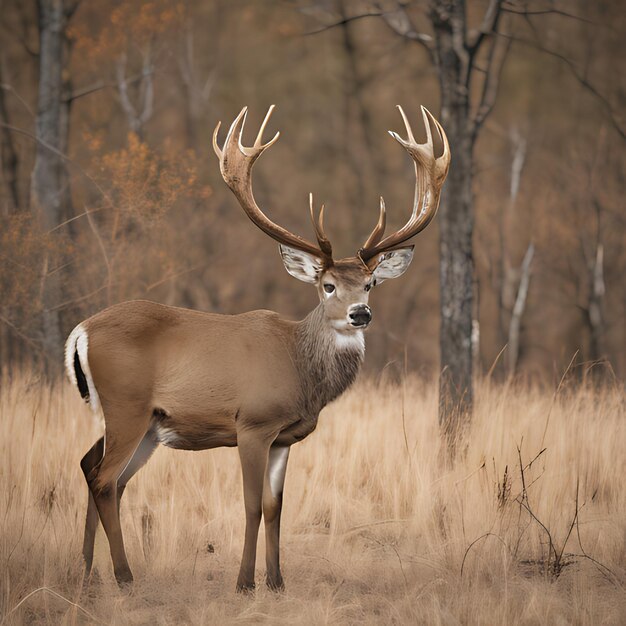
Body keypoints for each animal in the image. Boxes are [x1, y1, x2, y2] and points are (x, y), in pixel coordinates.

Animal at [64, 102, 448, 588]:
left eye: (370, 283)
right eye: (326, 285)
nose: (360, 314)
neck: (299, 367)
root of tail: (81, 331)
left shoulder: (285, 438)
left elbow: (275, 508)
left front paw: (277, 581)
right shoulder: (252, 424)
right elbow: (250, 505)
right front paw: (245, 582)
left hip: (147, 424)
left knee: (92, 466)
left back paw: (85, 570)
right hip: (126, 406)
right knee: (104, 478)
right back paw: (124, 574)